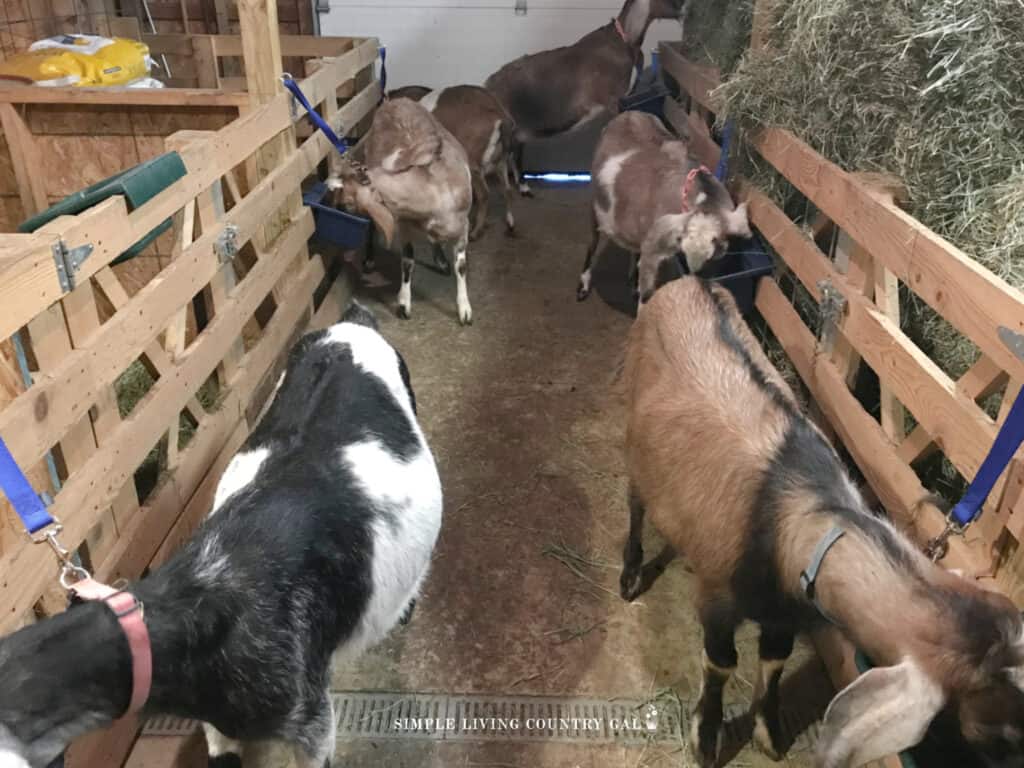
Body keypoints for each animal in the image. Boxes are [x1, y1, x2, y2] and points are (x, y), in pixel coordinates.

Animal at [329, 96, 473, 325]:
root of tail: (394, 100)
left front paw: (465, 310)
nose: (335, 208)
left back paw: (441, 260)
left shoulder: (463, 226)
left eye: (345, 202)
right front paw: (404, 304)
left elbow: (461, 266)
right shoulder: (404, 225)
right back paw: (369, 260)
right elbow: (407, 263)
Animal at [614, 276, 1024, 768]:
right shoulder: (717, 597)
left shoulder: (785, 615)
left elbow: (774, 661)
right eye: (1002, 728)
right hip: (637, 437)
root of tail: (690, 280)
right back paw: (631, 573)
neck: (805, 514)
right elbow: (721, 662)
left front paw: (769, 732)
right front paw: (707, 737)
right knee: (637, 501)